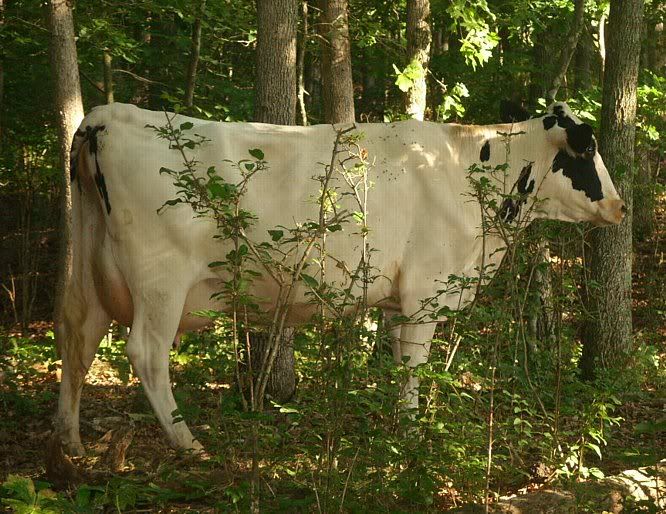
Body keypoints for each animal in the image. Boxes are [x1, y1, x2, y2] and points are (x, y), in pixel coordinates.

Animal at [54, 102, 625, 455]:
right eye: (586, 149)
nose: (620, 207)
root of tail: (108, 116)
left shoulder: (397, 299)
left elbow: (397, 363)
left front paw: (396, 423)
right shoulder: (425, 292)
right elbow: (414, 367)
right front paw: (412, 434)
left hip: (88, 265)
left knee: (77, 336)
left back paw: (70, 442)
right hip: (160, 280)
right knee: (146, 353)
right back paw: (188, 442)